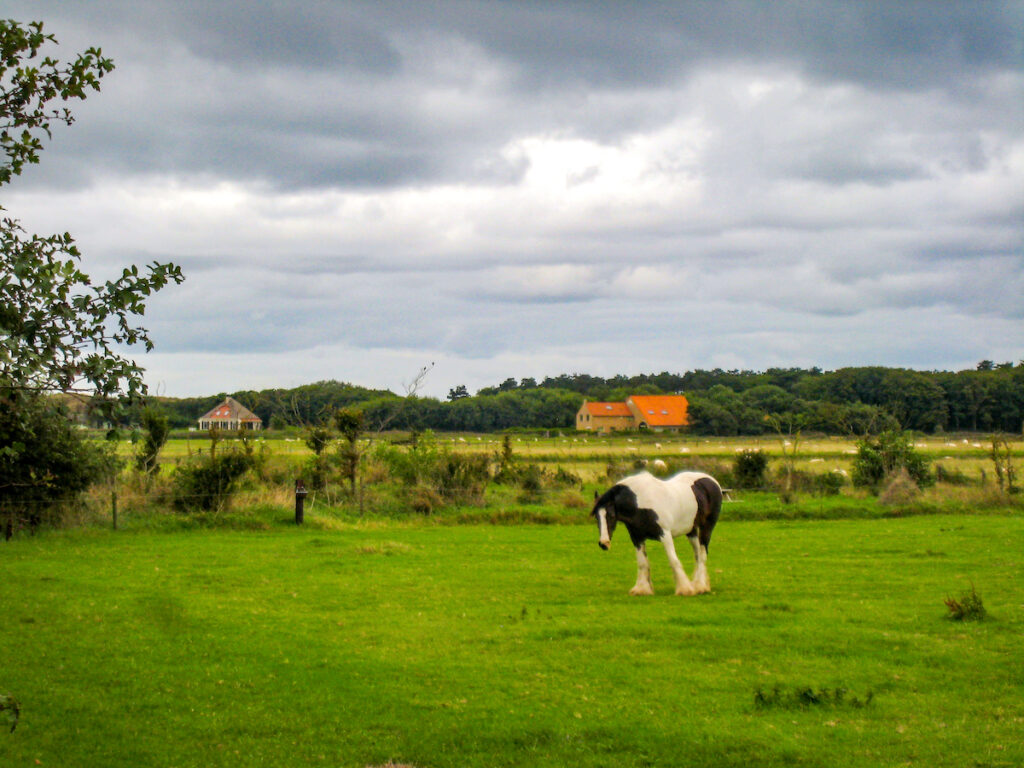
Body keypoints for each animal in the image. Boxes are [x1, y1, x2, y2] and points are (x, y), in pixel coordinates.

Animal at [589, 473, 724, 598]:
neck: (640, 502)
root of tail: (712, 480)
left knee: (702, 555)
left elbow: (673, 560)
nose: (604, 543)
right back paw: (698, 584)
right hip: (691, 531)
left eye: (611, 515)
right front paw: (642, 589)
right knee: (697, 555)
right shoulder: (637, 538)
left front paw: (685, 589)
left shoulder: (665, 534)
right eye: (596, 516)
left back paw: (700, 586)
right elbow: (643, 563)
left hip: (707, 528)